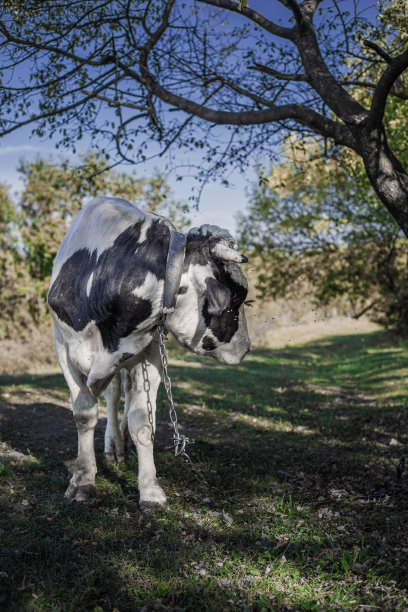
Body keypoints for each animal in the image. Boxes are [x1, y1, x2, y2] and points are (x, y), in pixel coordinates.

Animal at [49, 195, 250, 506]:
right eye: (238, 299)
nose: (247, 347)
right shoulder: (64, 348)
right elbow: (84, 414)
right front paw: (82, 478)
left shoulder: (148, 352)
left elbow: (142, 421)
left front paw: (150, 490)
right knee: (112, 395)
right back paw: (114, 445)